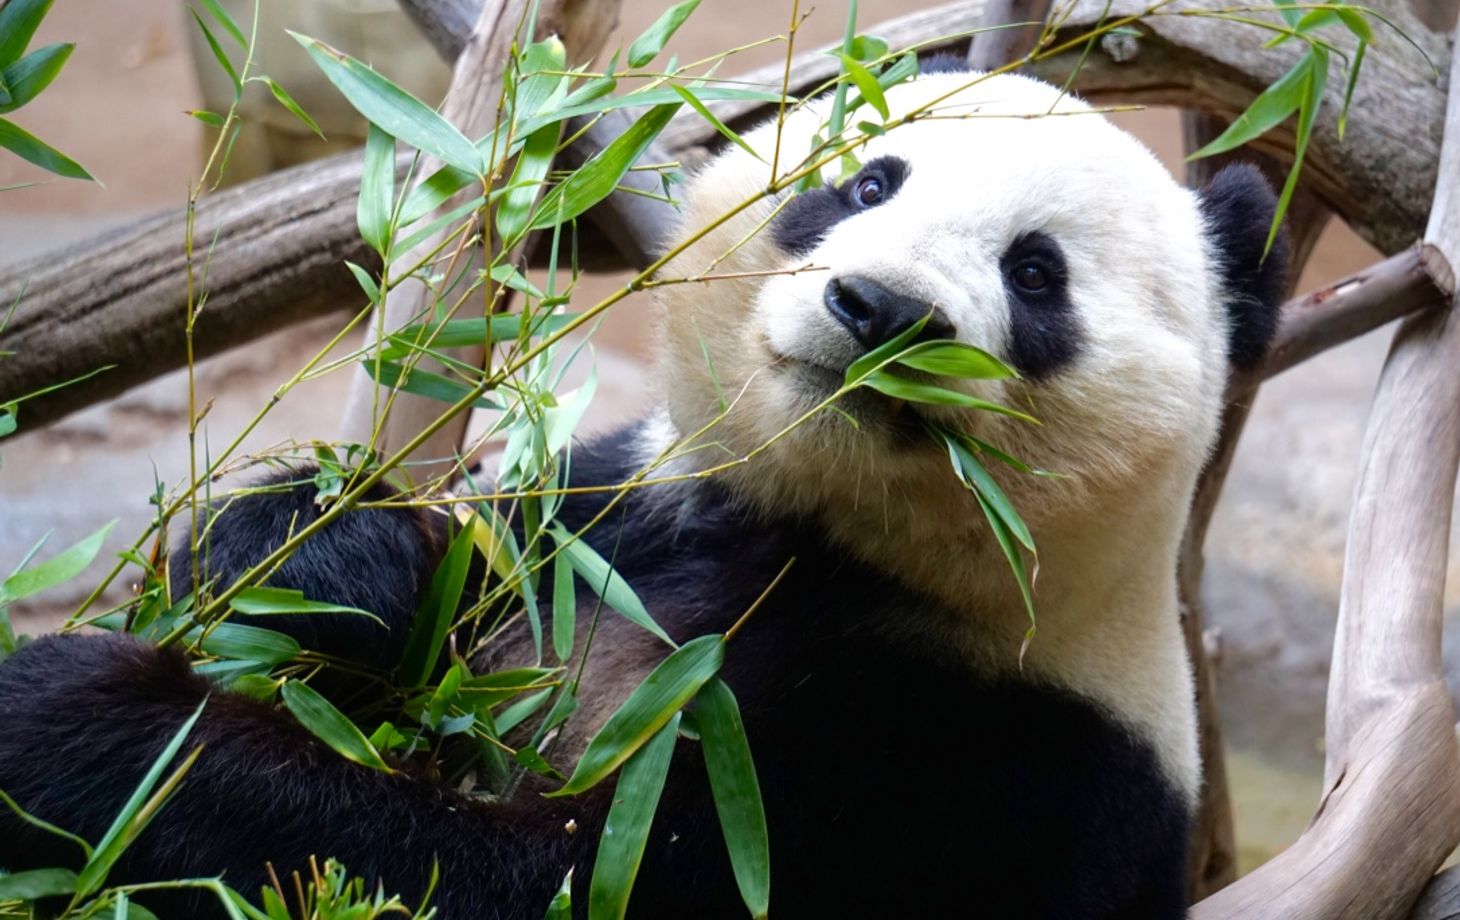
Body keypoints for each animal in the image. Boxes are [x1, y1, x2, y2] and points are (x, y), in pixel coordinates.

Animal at [0, 63, 1286, 920]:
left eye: (1034, 273)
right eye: (866, 180)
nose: (878, 308)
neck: (823, 536)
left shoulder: (979, 763)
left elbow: (538, 879)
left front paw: (82, 722)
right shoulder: (622, 511)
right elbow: (461, 561)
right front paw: (327, 561)